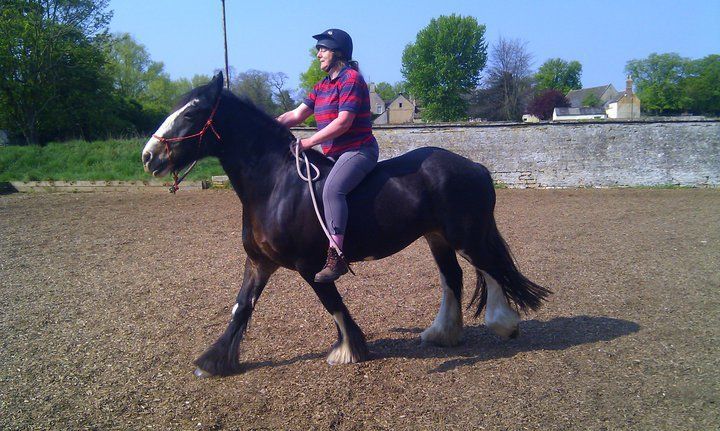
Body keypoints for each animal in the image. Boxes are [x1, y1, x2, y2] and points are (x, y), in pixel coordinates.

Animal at [141, 72, 550, 378]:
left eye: (191, 115)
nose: (149, 156)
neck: (276, 184)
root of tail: (476, 167)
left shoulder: (310, 266)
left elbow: (333, 303)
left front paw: (350, 349)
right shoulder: (259, 262)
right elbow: (241, 307)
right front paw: (213, 361)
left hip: (467, 235)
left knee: (492, 269)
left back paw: (503, 324)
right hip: (437, 238)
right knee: (455, 277)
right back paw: (442, 334)